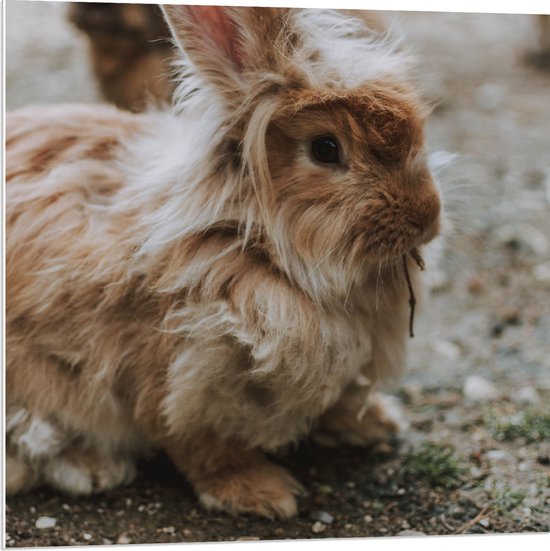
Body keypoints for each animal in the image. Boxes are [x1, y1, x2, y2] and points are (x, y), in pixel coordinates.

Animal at [5, 6, 444, 520]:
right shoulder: (175, 378)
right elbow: (202, 447)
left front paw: (376, 425)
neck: (253, 246)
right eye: (325, 148)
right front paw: (262, 494)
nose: (427, 216)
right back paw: (93, 468)